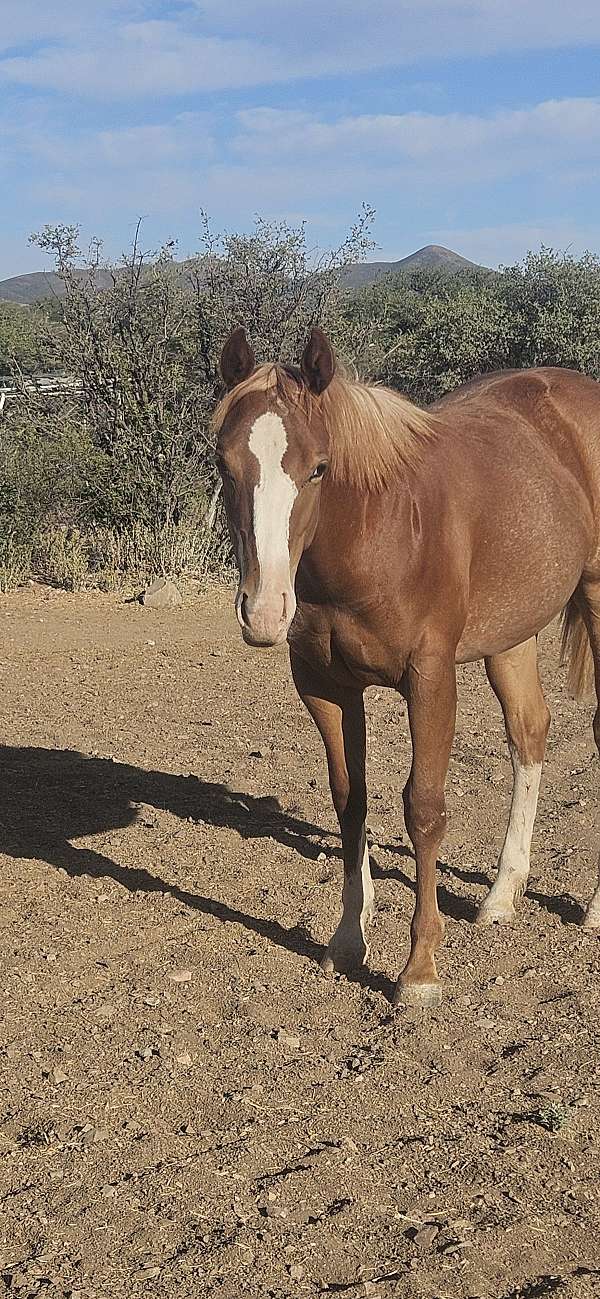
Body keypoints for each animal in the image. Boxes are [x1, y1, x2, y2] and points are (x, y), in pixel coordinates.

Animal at [211, 324, 600, 1006]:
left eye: (318, 468)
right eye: (224, 466)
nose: (263, 611)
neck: (379, 531)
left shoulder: (430, 679)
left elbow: (423, 809)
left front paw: (419, 971)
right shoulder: (325, 687)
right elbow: (350, 801)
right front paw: (347, 938)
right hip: (511, 634)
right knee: (529, 732)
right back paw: (502, 897)